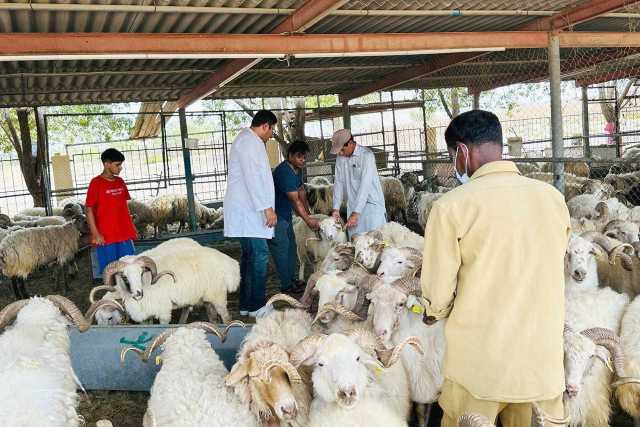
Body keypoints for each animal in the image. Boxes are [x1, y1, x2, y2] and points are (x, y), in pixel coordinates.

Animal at [97, 237, 240, 324]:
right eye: (124, 276)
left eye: (141, 272)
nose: (138, 293)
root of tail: (230, 263)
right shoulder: (146, 314)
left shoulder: (163, 311)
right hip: (206, 296)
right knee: (210, 316)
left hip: (218, 296)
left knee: (227, 317)